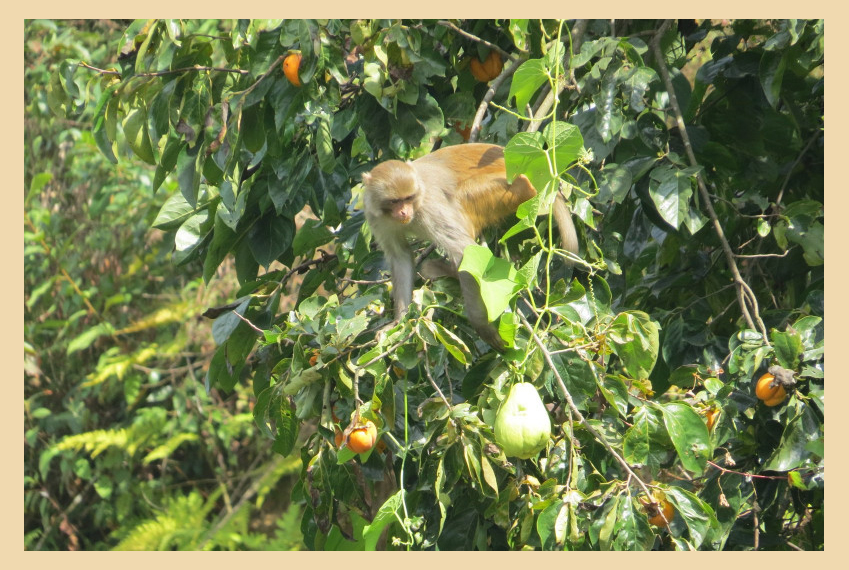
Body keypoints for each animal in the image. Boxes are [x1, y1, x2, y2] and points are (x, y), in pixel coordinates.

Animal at [362, 141, 580, 350]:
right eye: (395, 201)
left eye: (408, 198)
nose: (404, 212)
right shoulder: (375, 216)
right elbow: (400, 256)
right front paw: (398, 321)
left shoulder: (429, 209)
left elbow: (464, 251)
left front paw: (481, 325)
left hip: (510, 189)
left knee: (463, 199)